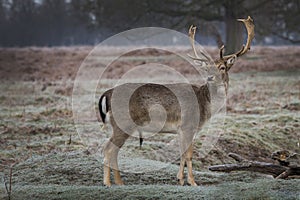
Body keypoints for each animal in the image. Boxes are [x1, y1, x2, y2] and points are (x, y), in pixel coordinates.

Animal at [99, 16, 254, 187]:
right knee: (108, 149)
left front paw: (180, 180)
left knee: (112, 149)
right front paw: (193, 182)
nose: (210, 77)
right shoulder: (188, 125)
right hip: (123, 123)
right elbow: (189, 155)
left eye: (222, 67)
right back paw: (108, 183)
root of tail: (107, 93)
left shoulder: (180, 130)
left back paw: (119, 182)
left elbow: (181, 154)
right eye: (207, 68)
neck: (205, 105)